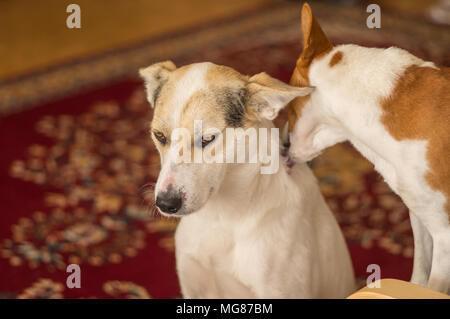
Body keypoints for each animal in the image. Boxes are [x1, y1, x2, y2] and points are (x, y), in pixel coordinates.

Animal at [286, 3, 448, 296]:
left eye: (290, 111)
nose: (283, 147)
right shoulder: (421, 218)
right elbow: (418, 275)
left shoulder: (444, 234)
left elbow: (432, 286)